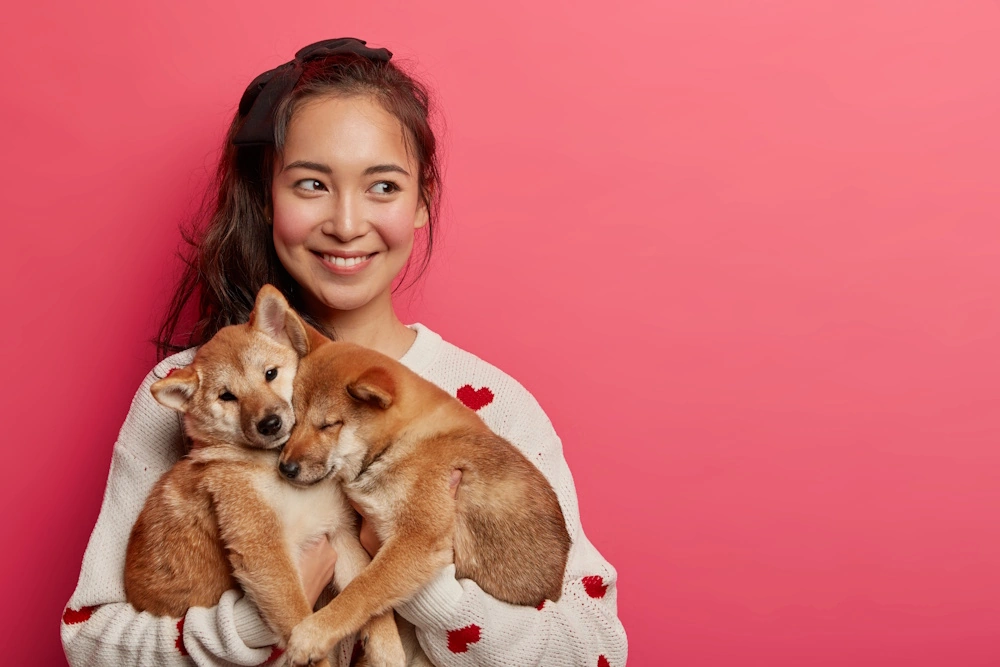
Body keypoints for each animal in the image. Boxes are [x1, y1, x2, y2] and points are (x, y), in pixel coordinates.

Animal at [124, 288, 402, 667]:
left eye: (270, 373)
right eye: (227, 396)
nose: (269, 423)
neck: (279, 470)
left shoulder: (338, 534)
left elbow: (362, 598)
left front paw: (388, 647)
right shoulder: (264, 549)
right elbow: (299, 615)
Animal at [278, 326, 576, 664]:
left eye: (328, 425)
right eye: (294, 417)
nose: (285, 467)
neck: (401, 439)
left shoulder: (417, 538)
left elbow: (362, 588)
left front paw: (315, 632)